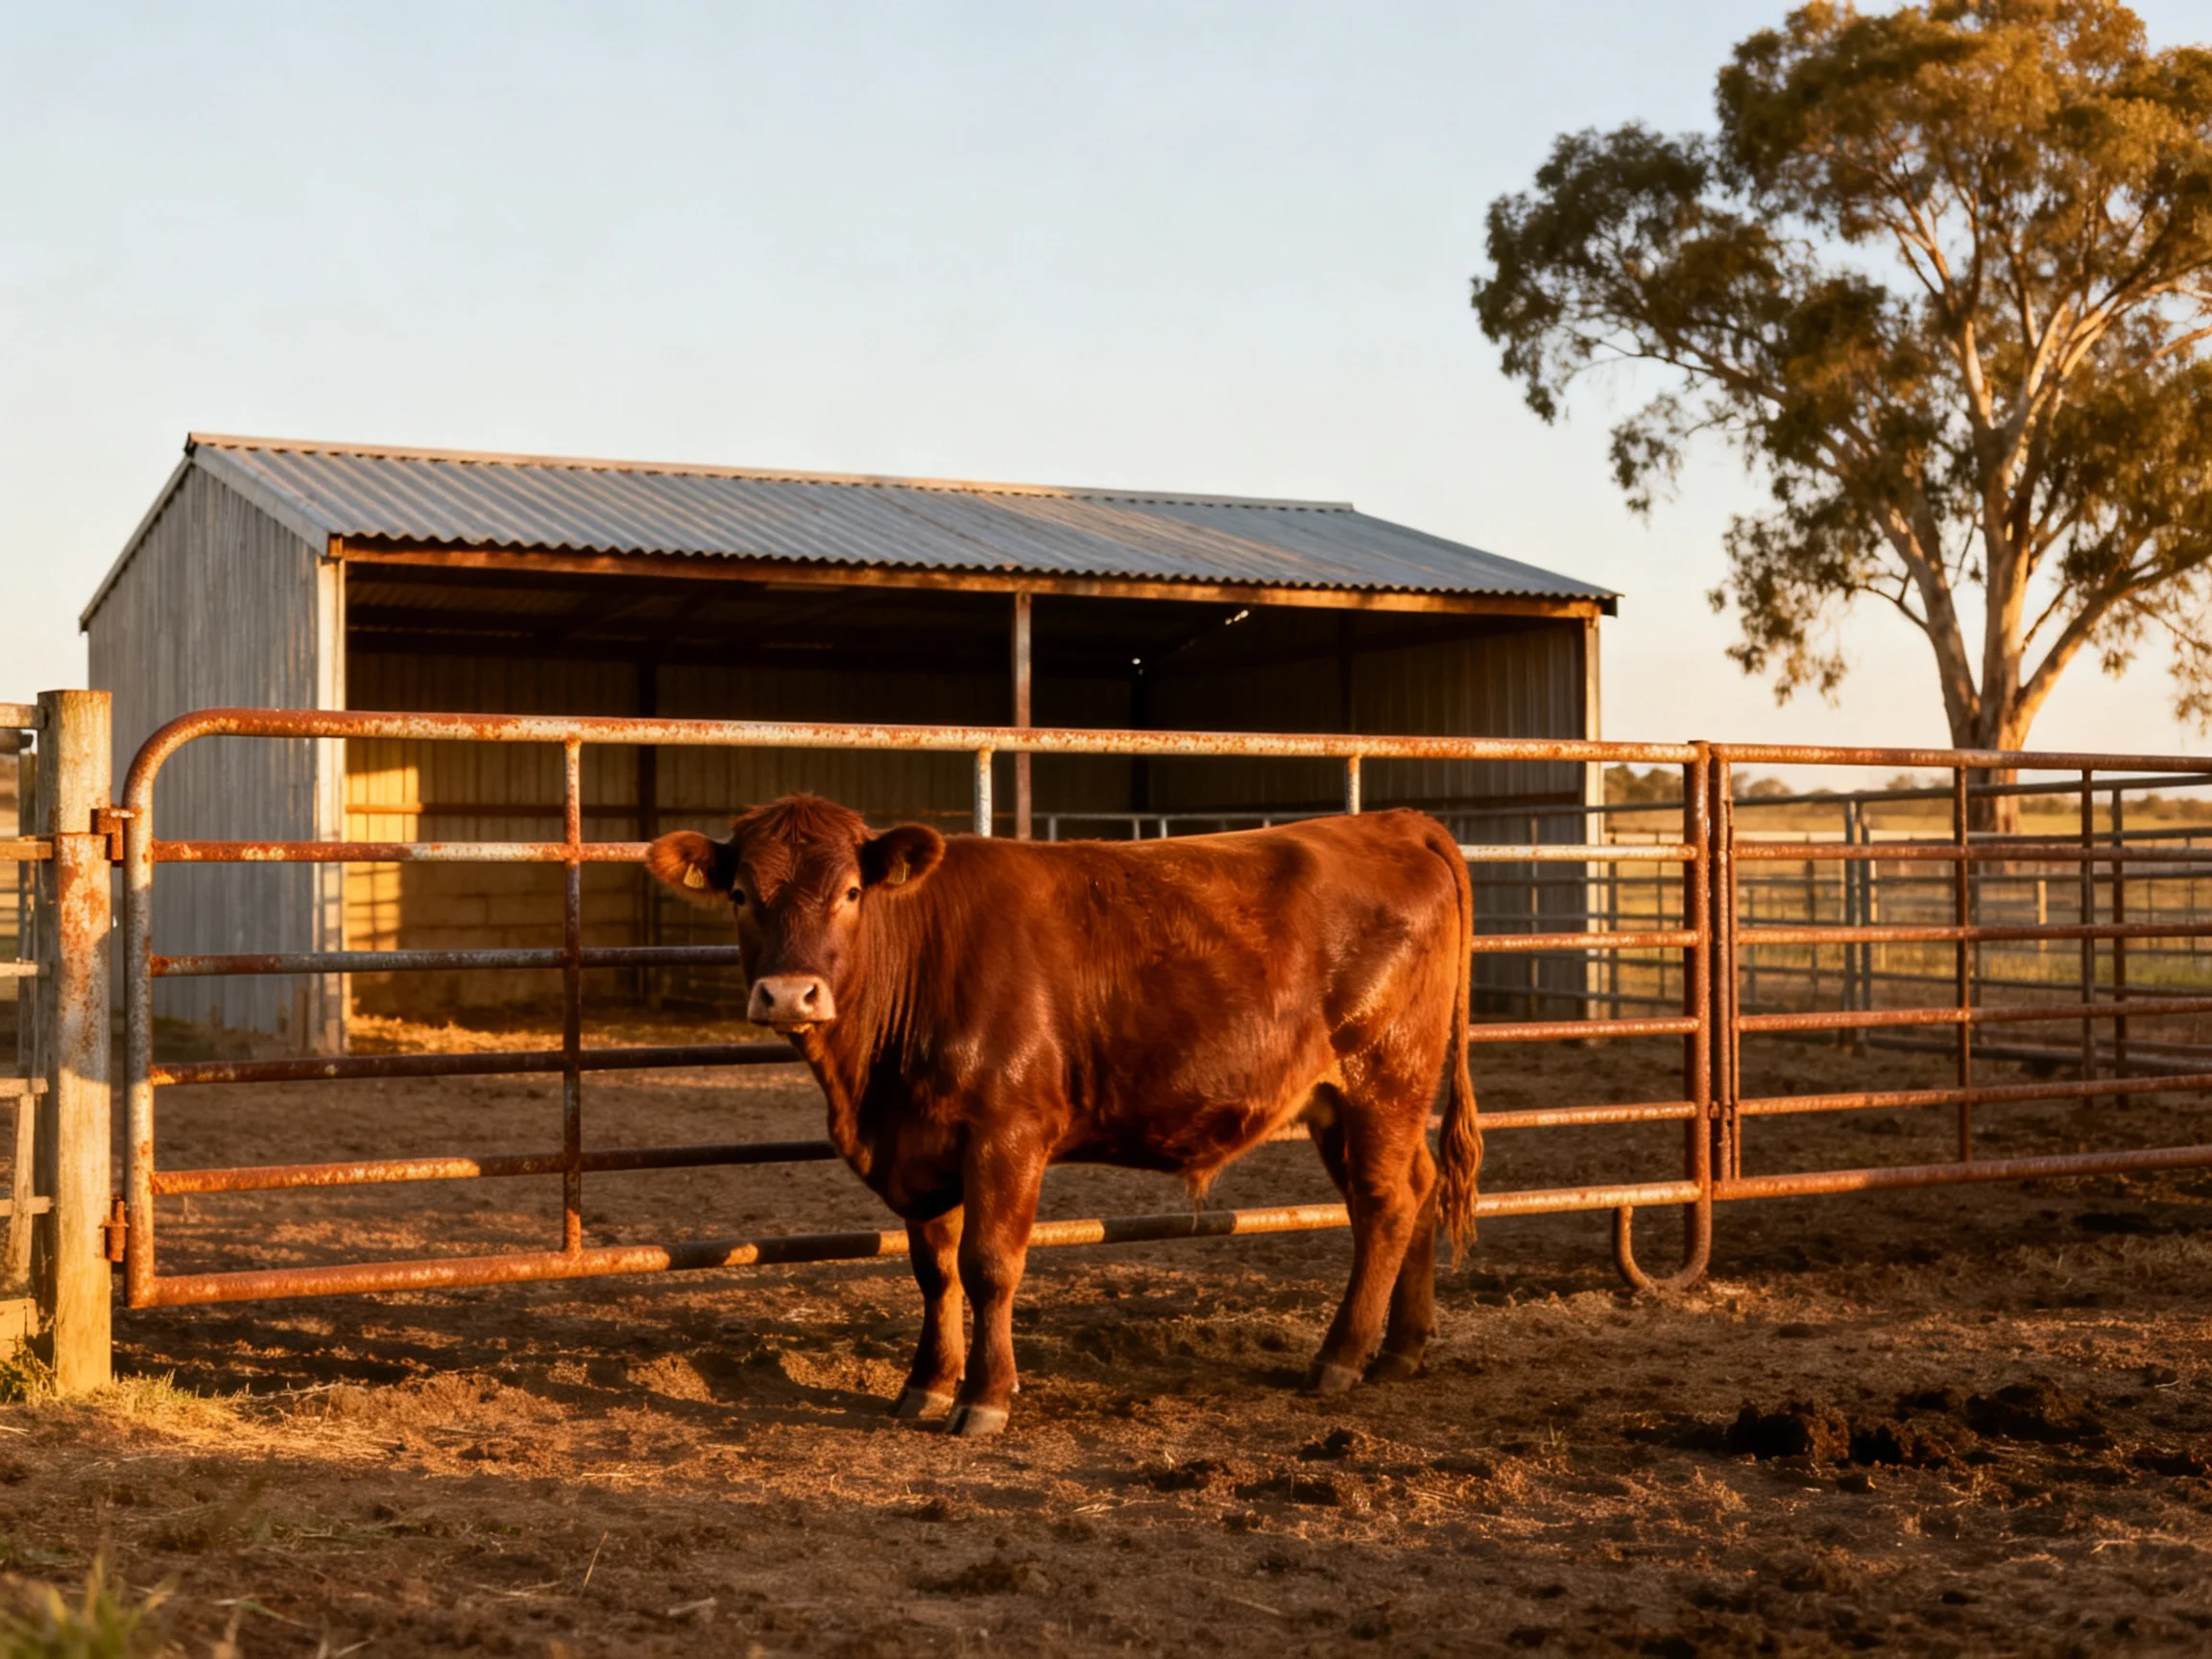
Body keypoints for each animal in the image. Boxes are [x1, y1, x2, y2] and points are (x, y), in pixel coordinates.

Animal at [646, 794, 1480, 1437]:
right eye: (742, 895)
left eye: (851, 892)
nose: (791, 994)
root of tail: (1393, 823)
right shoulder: (921, 1148)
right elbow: (933, 1271)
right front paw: (925, 1386)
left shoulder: (1007, 1133)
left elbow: (988, 1267)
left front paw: (983, 1399)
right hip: (1342, 1103)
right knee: (1417, 1187)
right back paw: (1401, 1350)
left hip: (1382, 1077)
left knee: (1384, 1204)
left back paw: (1340, 1358)